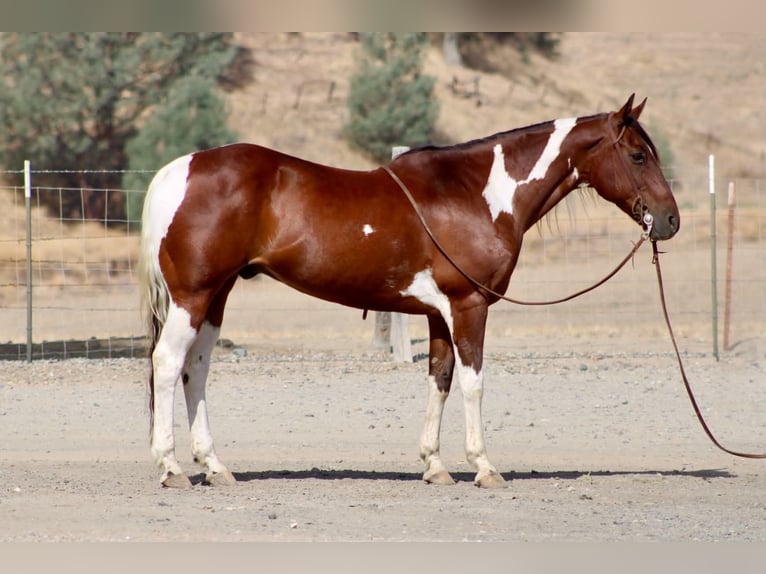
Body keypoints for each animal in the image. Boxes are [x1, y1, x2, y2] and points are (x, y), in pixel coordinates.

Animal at [138, 94, 679, 489]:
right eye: (637, 155)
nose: (670, 220)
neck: (476, 193)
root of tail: (177, 170)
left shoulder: (440, 314)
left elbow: (439, 379)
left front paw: (434, 466)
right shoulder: (469, 307)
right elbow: (474, 383)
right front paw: (484, 467)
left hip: (216, 296)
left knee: (196, 368)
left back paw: (214, 466)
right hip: (193, 295)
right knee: (168, 362)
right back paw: (171, 468)